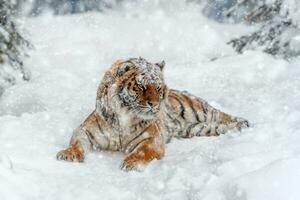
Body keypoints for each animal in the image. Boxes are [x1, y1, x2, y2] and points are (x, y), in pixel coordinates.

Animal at [55, 57, 248, 171]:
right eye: (141, 86)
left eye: (158, 88)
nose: (154, 105)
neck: (124, 118)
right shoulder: (85, 130)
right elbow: (77, 143)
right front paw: (68, 154)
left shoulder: (152, 139)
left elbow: (141, 151)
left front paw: (130, 163)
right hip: (197, 129)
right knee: (217, 127)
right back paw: (237, 128)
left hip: (197, 110)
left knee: (220, 114)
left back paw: (243, 122)